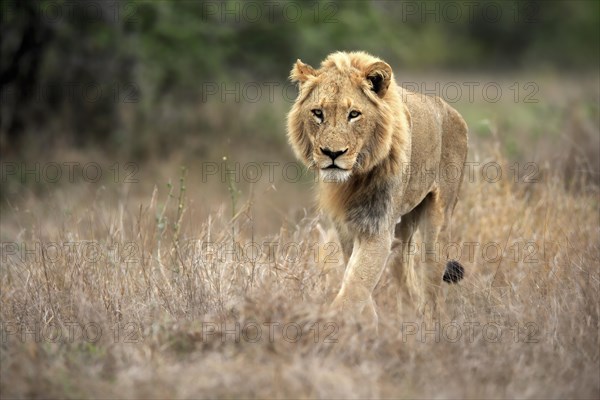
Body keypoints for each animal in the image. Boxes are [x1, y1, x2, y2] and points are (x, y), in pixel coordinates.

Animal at [286, 51, 468, 324]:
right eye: (318, 113)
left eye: (354, 114)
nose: (332, 153)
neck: (354, 177)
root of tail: (452, 111)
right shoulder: (345, 226)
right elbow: (356, 279)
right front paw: (369, 324)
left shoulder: (377, 225)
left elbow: (357, 283)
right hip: (404, 225)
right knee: (404, 277)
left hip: (438, 220)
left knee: (431, 284)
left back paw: (429, 324)